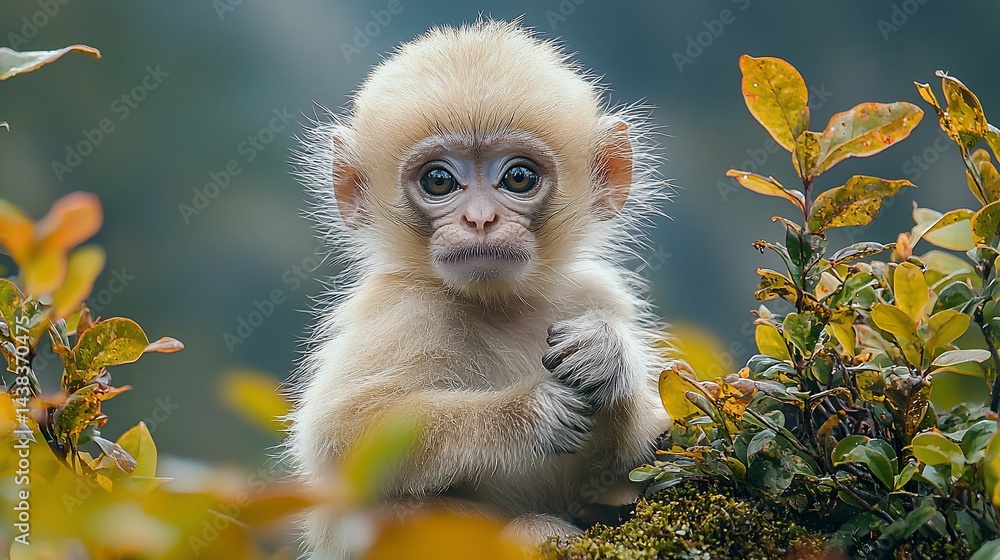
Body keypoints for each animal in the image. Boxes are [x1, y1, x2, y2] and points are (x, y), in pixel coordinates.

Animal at [287, 19, 670, 559]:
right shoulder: (403, 309)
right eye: (439, 181)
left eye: (519, 177)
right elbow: (340, 436)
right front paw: (525, 415)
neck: (498, 305)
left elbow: (627, 459)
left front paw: (606, 355)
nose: (481, 219)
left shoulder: (595, 291)